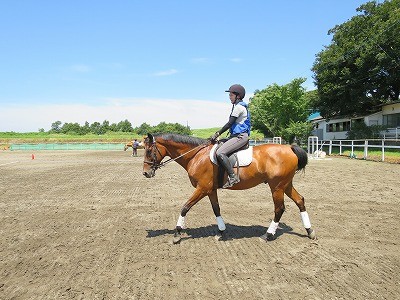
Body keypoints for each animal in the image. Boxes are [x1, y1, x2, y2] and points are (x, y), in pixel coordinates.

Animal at [142, 134, 318, 244]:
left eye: (149, 151)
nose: (145, 173)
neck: (196, 155)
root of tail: (289, 148)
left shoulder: (202, 188)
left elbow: (185, 207)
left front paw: (177, 234)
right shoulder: (210, 190)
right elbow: (216, 209)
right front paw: (221, 232)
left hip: (277, 187)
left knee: (279, 209)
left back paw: (268, 235)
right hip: (286, 185)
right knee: (300, 201)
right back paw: (310, 231)